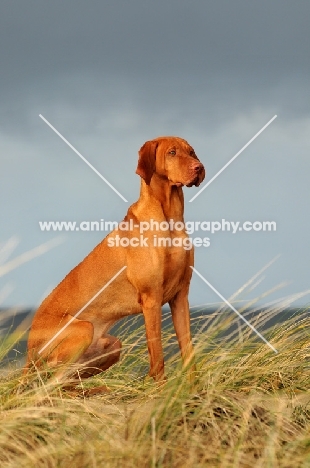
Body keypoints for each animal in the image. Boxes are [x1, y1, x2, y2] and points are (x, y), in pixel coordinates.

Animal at [24, 137, 206, 390]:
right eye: (172, 152)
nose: (199, 168)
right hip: (81, 330)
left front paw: (193, 390)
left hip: (112, 345)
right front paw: (159, 389)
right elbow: (157, 354)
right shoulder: (151, 299)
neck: (170, 218)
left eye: (192, 152)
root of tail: (28, 351)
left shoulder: (180, 296)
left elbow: (188, 350)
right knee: (50, 384)